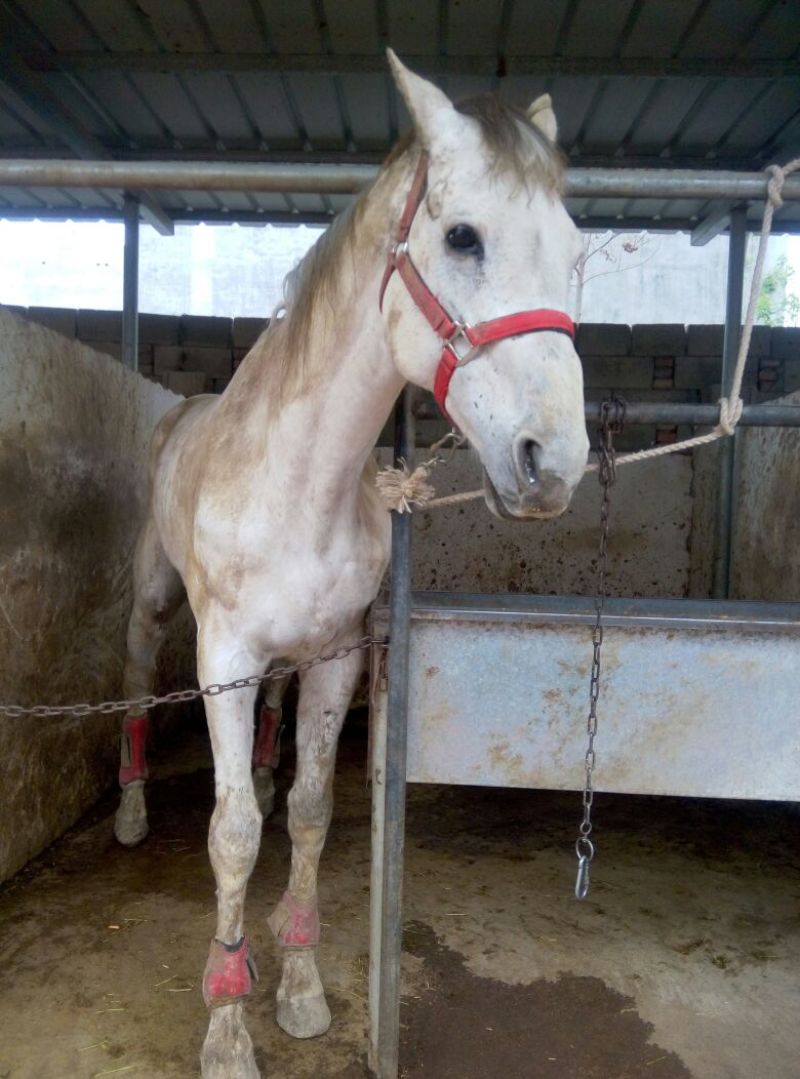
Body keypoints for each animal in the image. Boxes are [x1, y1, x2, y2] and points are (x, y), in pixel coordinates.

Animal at [112, 51, 589, 1079]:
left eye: (575, 250)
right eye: (462, 235)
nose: (553, 464)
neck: (299, 485)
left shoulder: (334, 657)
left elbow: (307, 811)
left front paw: (297, 984)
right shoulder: (221, 662)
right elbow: (234, 833)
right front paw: (226, 1023)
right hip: (155, 605)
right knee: (130, 680)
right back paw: (127, 812)